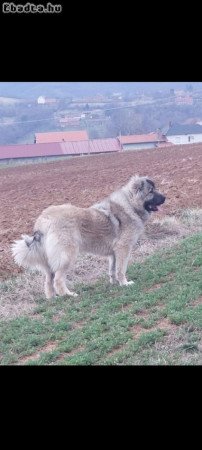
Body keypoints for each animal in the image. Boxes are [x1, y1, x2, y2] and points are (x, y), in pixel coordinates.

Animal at [11, 176, 165, 298]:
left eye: (154, 189)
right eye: (151, 191)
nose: (165, 198)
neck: (130, 204)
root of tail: (43, 220)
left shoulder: (114, 253)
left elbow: (113, 270)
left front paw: (115, 283)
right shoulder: (123, 249)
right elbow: (121, 269)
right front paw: (125, 283)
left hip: (51, 261)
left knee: (49, 280)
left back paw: (52, 297)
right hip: (67, 256)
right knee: (58, 280)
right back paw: (68, 295)